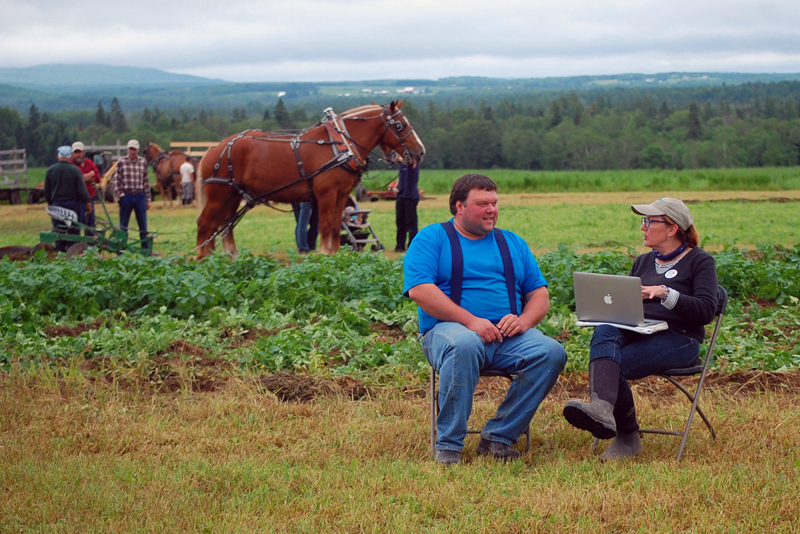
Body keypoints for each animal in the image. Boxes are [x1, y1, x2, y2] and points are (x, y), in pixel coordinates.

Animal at [195, 102, 424, 260]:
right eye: (400, 125)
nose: (420, 151)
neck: (342, 145)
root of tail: (213, 150)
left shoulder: (342, 195)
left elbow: (335, 227)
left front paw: (335, 256)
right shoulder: (326, 195)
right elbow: (325, 226)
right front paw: (324, 255)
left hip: (233, 195)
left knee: (225, 224)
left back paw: (229, 256)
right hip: (219, 195)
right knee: (205, 223)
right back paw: (203, 259)